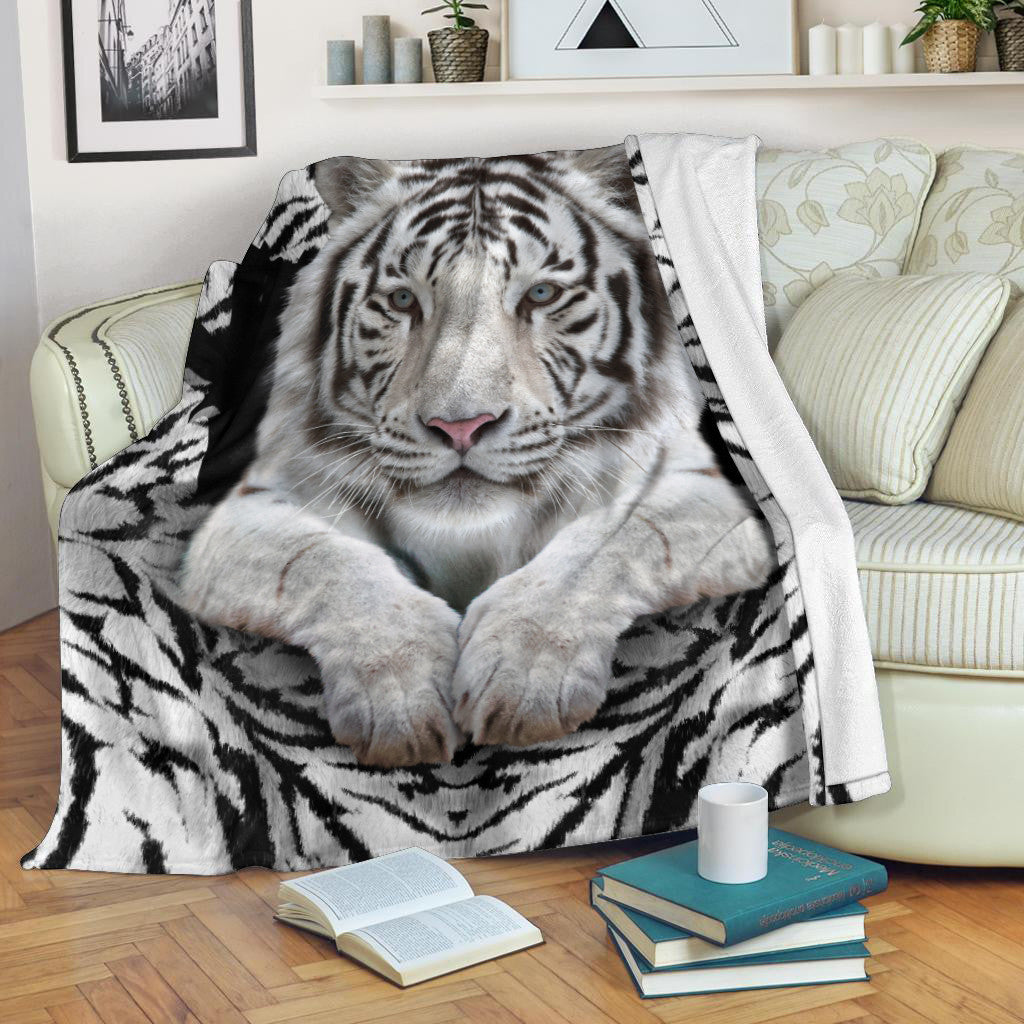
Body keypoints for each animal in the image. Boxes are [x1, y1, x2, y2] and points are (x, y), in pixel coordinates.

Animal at [179, 145, 773, 768]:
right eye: (402, 300)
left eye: (541, 295)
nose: (460, 426)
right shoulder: (252, 509)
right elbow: (327, 563)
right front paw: (401, 696)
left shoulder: (697, 488)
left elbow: (610, 543)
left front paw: (523, 677)